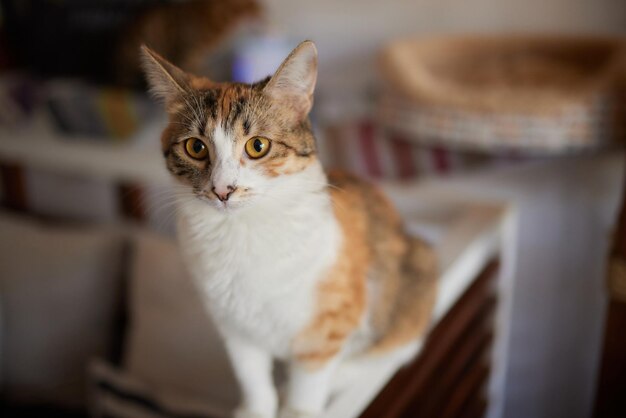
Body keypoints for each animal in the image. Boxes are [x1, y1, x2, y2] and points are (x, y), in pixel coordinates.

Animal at [141, 40, 436, 418]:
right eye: (195, 147)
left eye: (258, 146)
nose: (223, 190)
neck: (243, 233)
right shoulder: (233, 326)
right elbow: (250, 374)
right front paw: (255, 409)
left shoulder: (328, 324)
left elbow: (309, 379)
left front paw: (297, 407)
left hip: (411, 279)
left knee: (396, 347)